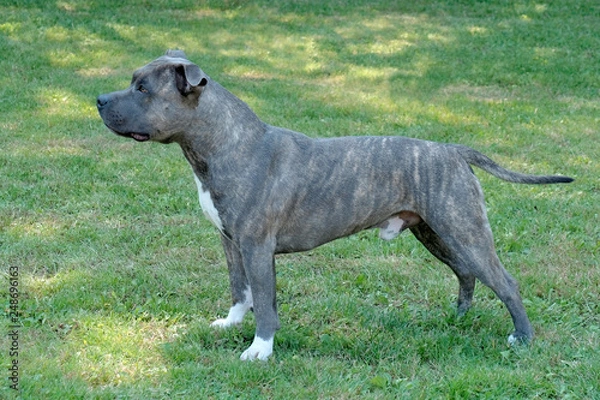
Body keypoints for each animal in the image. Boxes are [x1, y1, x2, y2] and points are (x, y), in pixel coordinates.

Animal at [97, 50, 572, 362]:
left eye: (142, 88)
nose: (99, 100)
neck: (223, 143)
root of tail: (454, 151)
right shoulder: (231, 242)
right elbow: (240, 289)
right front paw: (231, 324)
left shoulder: (256, 247)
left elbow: (265, 303)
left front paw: (260, 350)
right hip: (435, 232)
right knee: (466, 274)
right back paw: (456, 319)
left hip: (464, 229)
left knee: (505, 282)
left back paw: (522, 339)